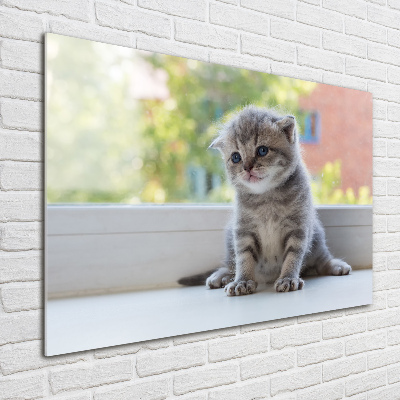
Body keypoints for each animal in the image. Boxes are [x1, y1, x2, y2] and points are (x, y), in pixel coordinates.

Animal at [178, 104, 350, 296]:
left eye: (262, 150)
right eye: (236, 157)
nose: (247, 167)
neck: (266, 197)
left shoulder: (298, 227)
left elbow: (293, 255)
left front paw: (288, 278)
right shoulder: (243, 230)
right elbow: (243, 258)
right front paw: (242, 281)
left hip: (317, 235)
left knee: (322, 260)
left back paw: (335, 265)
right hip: (230, 235)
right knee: (230, 264)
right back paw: (221, 276)